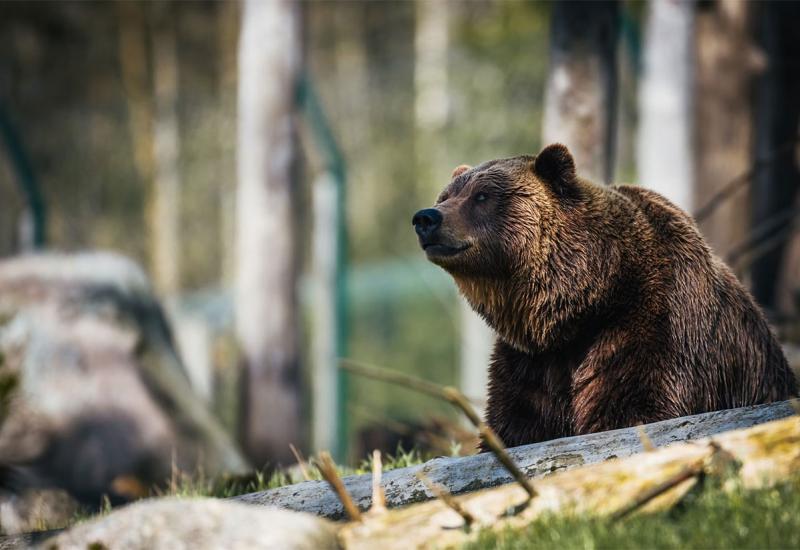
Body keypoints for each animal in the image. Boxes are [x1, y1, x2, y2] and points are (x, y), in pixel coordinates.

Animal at [416, 144, 796, 450]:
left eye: (482, 196)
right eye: (445, 196)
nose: (426, 218)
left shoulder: (653, 325)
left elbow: (633, 407)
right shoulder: (532, 362)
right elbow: (516, 423)